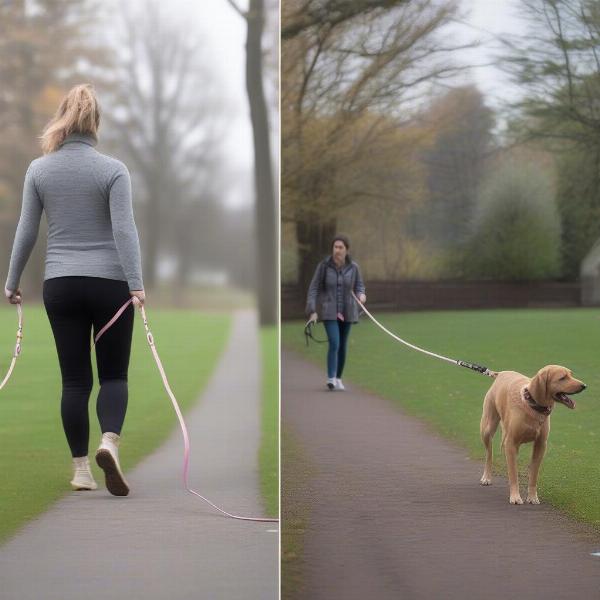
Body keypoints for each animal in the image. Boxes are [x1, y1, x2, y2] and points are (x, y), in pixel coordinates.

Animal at [480, 364, 584, 504]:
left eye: (571, 375)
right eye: (562, 378)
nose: (584, 386)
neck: (533, 406)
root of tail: (501, 373)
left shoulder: (540, 445)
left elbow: (533, 474)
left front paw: (532, 497)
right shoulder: (511, 443)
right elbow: (514, 474)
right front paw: (515, 497)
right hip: (487, 429)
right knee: (489, 454)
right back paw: (486, 477)